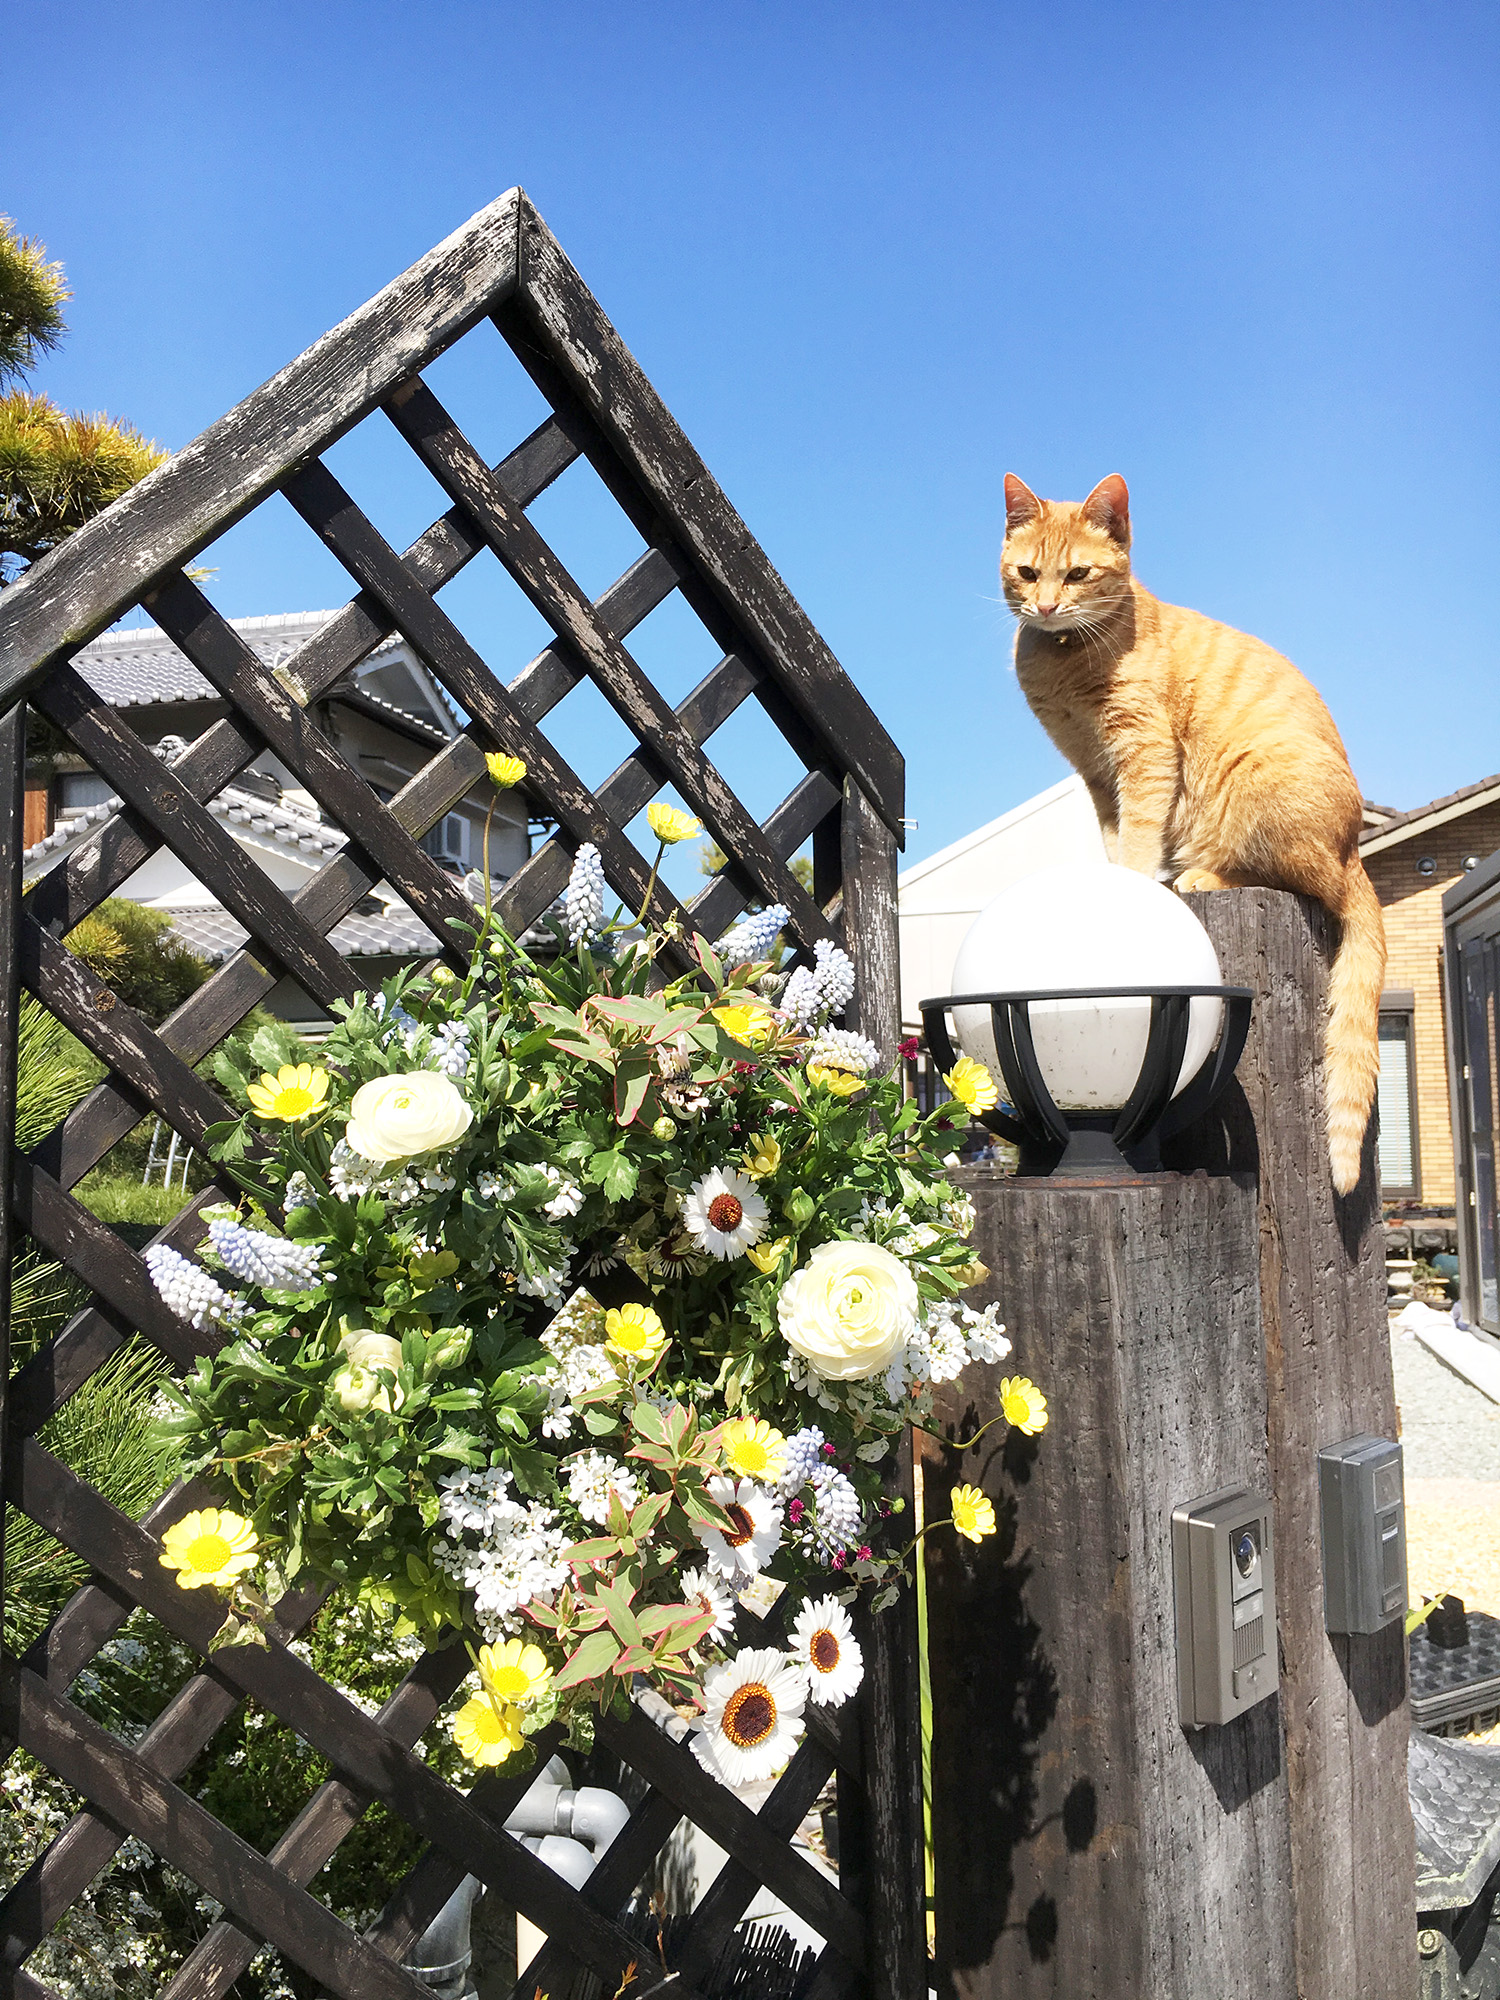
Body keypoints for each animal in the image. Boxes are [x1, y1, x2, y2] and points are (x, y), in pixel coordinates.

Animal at [1004, 472, 1392, 1184]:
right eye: (1027, 572)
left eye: (1077, 574)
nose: (1045, 606)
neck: (1068, 657)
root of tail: (1355, 851)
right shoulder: (1098, 775)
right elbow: (1114, 837)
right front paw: (1114, 875)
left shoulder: (1146, 755)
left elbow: (1138, 836)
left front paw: (1134, 881)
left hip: (1258, 780)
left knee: (1303, 882)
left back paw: (1199, 875)